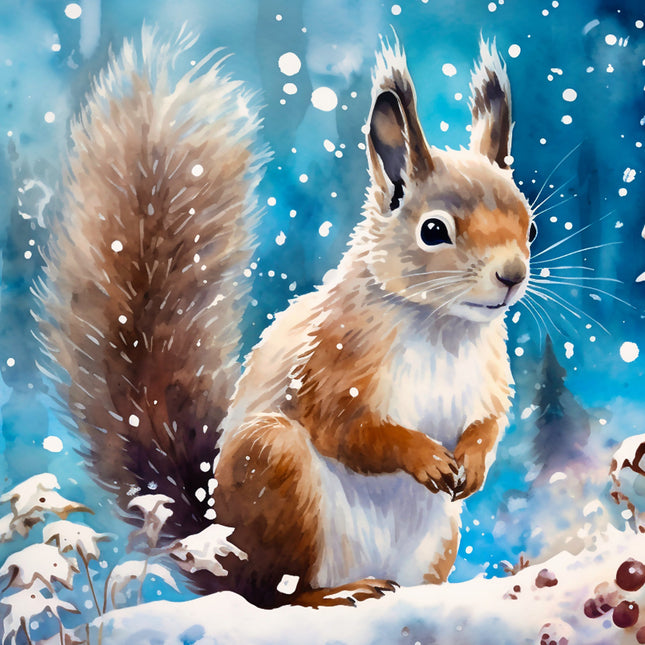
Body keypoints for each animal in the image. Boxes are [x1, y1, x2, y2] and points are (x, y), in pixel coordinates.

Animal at [39, 28, 535, 609]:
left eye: (529, 223)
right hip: (277, 468)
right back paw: (338, 594)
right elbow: (348, 430)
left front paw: (472, 461)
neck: (441, 325)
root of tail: (217, 556)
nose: (512, 276)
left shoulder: (489, 378)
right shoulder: (333, 362)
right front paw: (426, 457)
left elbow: (488, 424)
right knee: (273, 594)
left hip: (439, 535)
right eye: (433, 231)